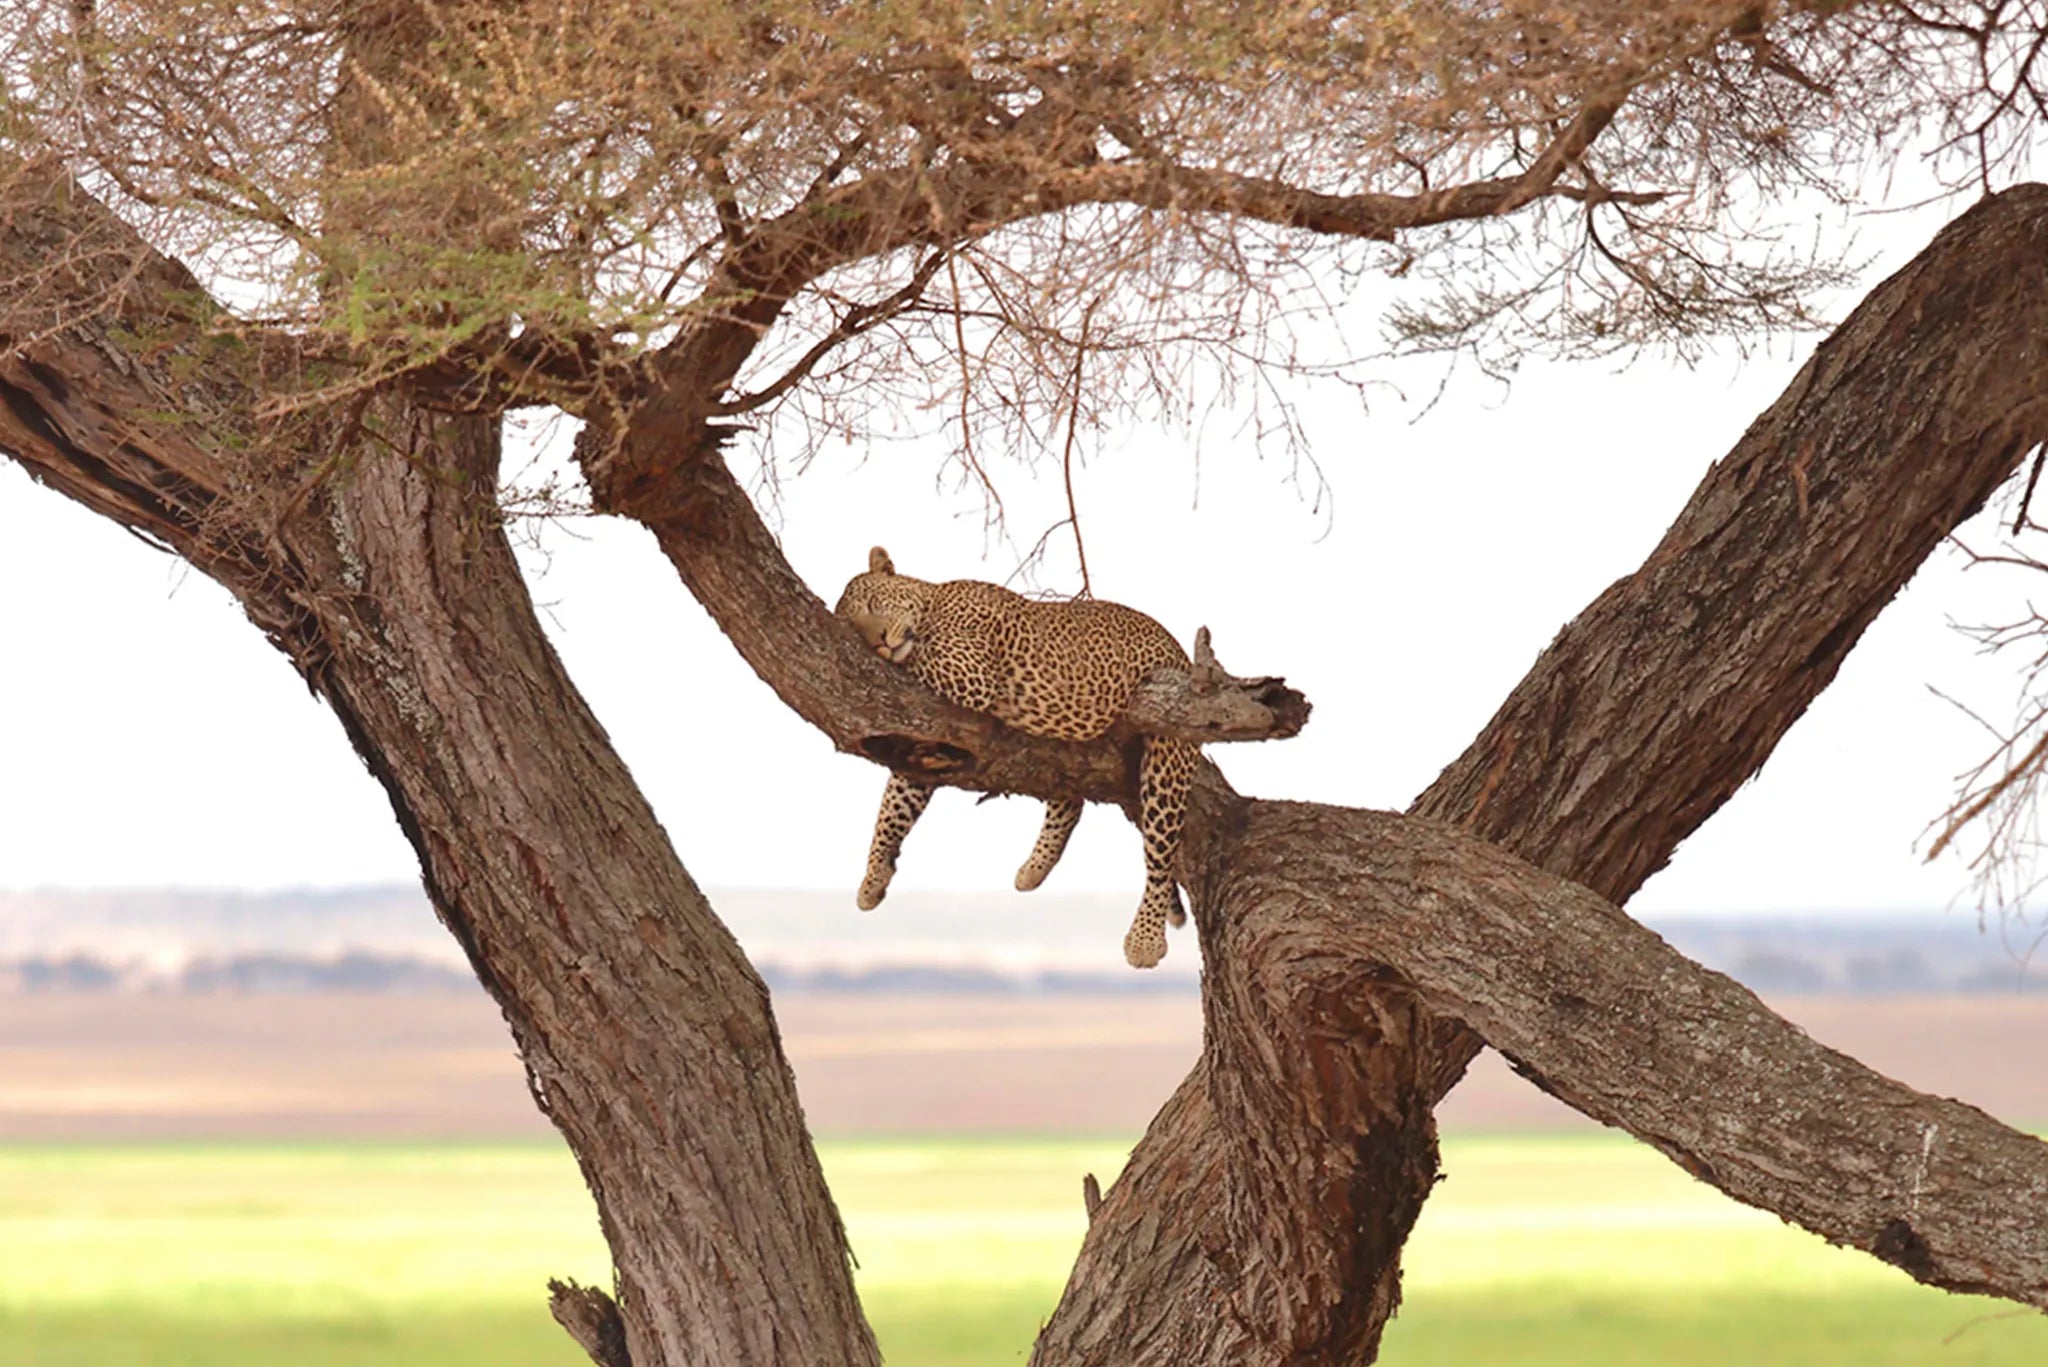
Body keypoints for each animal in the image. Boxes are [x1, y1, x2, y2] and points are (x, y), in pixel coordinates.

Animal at [834, 546, 1199, 969]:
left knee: (1160, 852)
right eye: (856, 631)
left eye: (874, 604)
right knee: (1070, 804)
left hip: (1167, 755)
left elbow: (918, 658)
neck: (934, 600)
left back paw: (1145, 941)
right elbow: (892, 809)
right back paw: (1033, 870)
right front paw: (872, 879)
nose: (878, 643)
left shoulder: (968, 673)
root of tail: (1183, 656)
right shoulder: (923, 746)